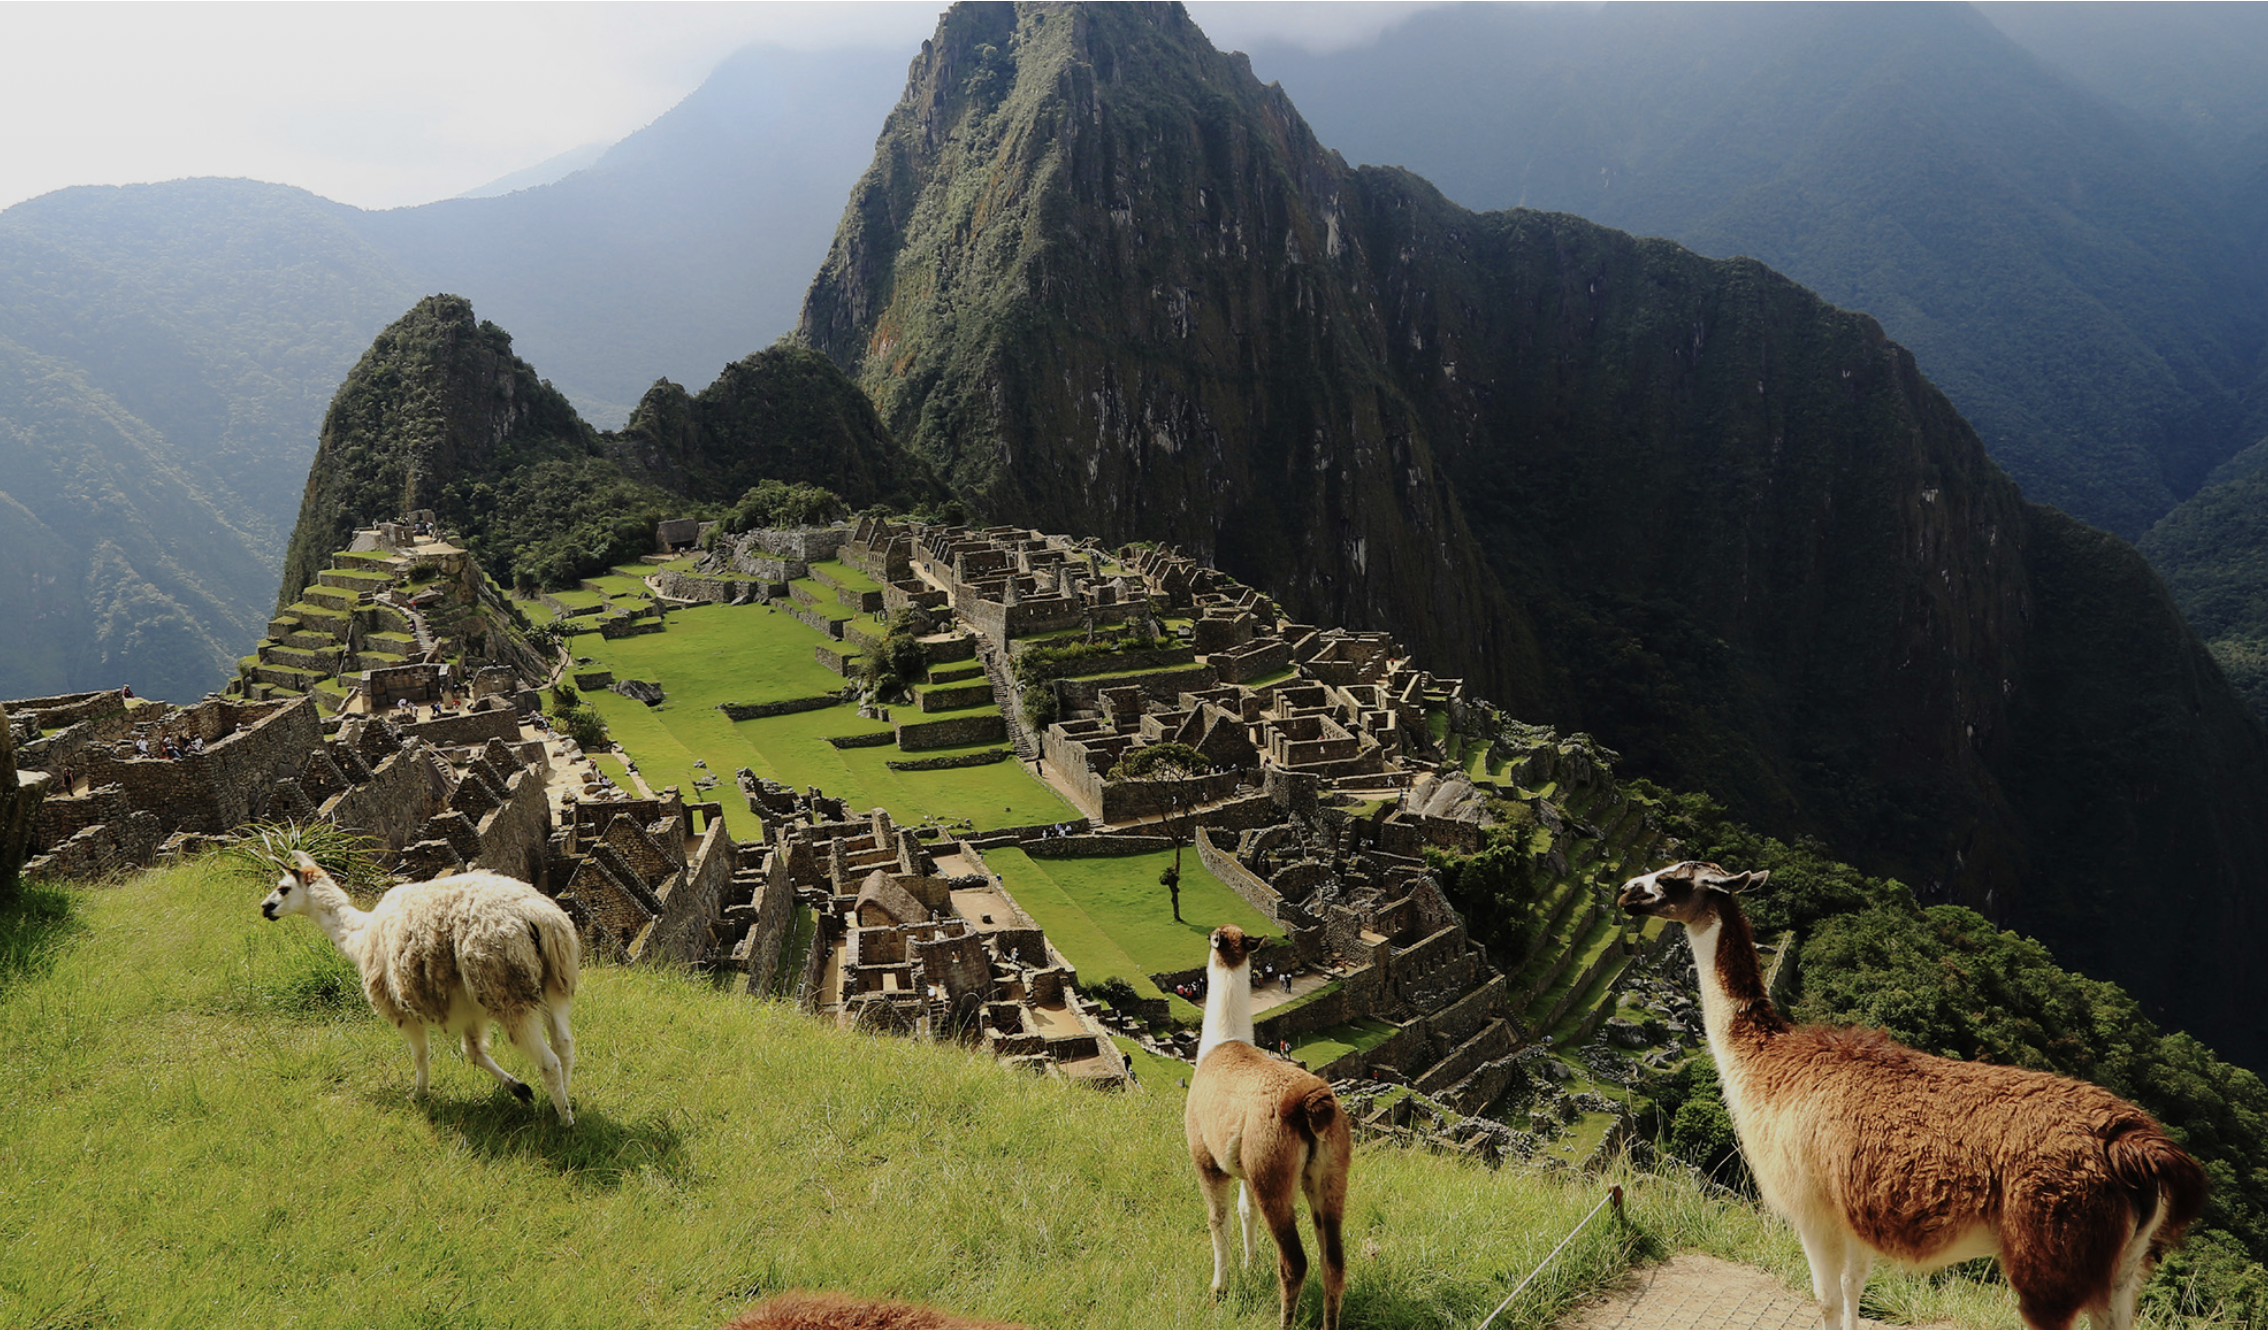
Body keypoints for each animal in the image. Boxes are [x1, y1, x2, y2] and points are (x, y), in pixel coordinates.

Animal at [260, 851, 580, 1124]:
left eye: (283, 888)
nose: (265, 908)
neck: (360, 936)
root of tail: (537, 916)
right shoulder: (468, 1008)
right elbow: (472, 1051)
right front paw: (521, 1090)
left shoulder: (398, 1005)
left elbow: (421, 1052)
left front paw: (420, 1095)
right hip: (553, 982)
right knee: (564, 1046)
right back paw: (561, 1103)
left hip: (504, 987)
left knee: (549, 1060)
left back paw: (565, 1122)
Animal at [1185, 926, 1351, 1330]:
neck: (1221, 1044)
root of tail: (1310, 1102)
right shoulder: (1243, 1166)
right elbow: (1247, 1212)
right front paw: (1249, 1265)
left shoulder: (1206, 1158)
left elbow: (1218, 1219)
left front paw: (1220, 1287)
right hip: (1329, 1173)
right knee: (1333, 1262)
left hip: (1272, 1167)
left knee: (1295, 1262)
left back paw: (1284, 1319)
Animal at [1618, 861, 2206, 1330]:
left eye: (1671, 878)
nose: (1625, 891)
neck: (1769, 1064)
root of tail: (2130, 1142)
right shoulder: (1849, 1209)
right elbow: (1854, 1291)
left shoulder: (1812, 1206)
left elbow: (1826, 1299)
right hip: (2122, 1267)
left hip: (2052, 1252)